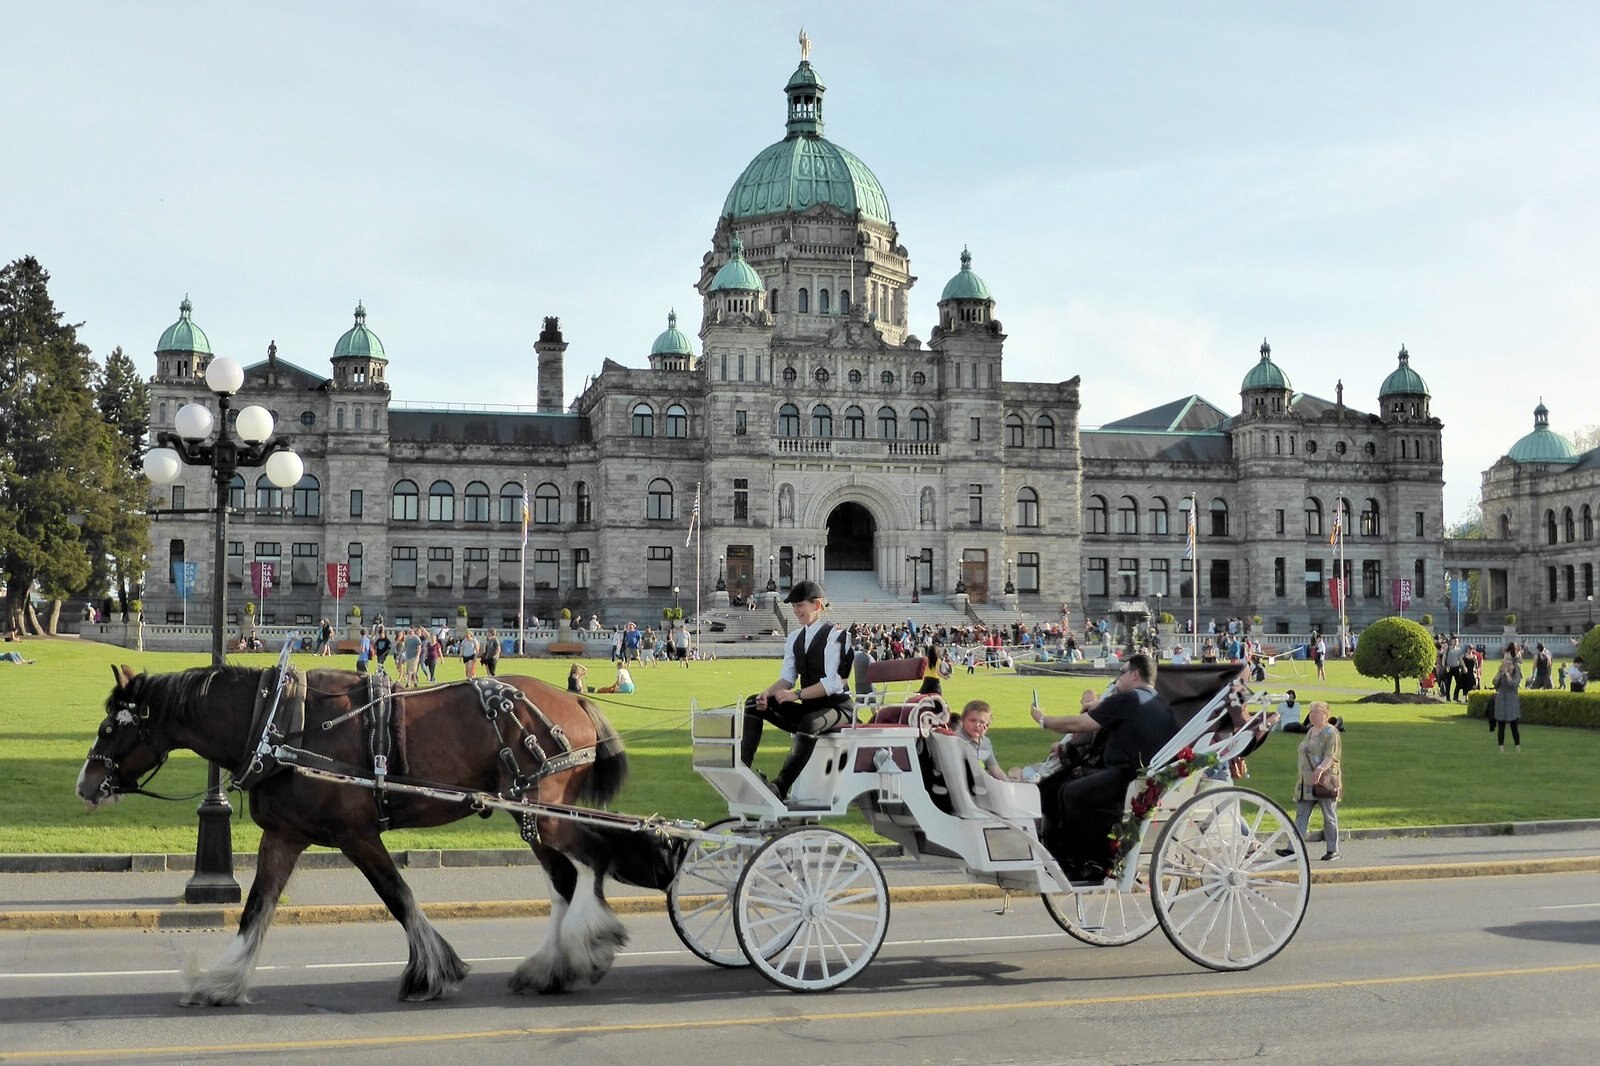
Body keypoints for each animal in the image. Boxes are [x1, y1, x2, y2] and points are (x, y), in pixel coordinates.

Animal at [78, 665, 678, 1005]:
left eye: (109, 727)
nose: (85, 784)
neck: (279, 725)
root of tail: (573, 699)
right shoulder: (285, 836)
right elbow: (257, 910)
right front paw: (222, 982)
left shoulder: (357, 833)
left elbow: (398, 896)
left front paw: (431, 972)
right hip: (531, 815)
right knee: (566, 878)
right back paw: (552, 968)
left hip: (544, 812)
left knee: (591, 863)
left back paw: (588, 945)